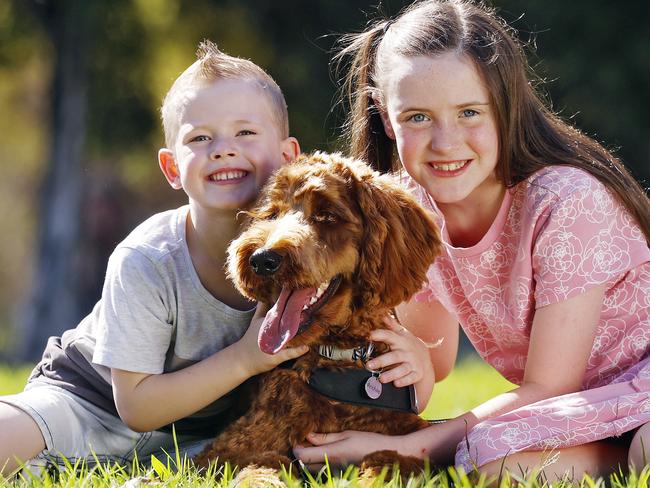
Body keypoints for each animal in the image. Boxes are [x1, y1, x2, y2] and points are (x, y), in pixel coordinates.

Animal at [192, 152, 442, 472]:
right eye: (272, 214)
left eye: (327, 216)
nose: (262, 260)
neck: (337, 359)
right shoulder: (222, 451)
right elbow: (265, 462)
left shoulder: (408, 436)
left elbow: (387, 457)